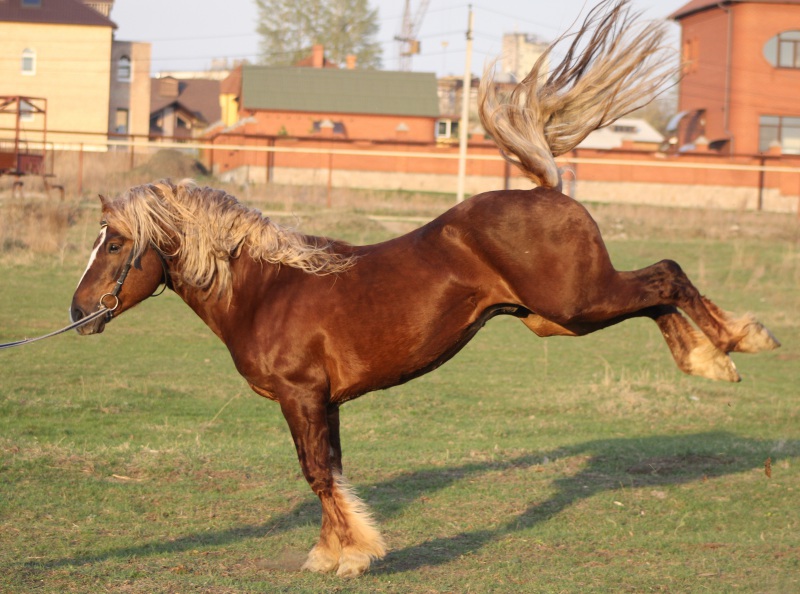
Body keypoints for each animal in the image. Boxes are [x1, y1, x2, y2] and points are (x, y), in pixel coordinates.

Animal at [70, 0, 780, 572]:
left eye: (114, 243)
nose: (78, 311)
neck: (268, 289)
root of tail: (546, 188)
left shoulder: (301, 396)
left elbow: (317, 473)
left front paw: (352, 556)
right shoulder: (324, 401)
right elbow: (329, 470)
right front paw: (333, 553)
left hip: (577, 304)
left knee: (667, 276)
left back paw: (738, 345)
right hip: (555, 316)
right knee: (659, 296)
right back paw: (711, 359)